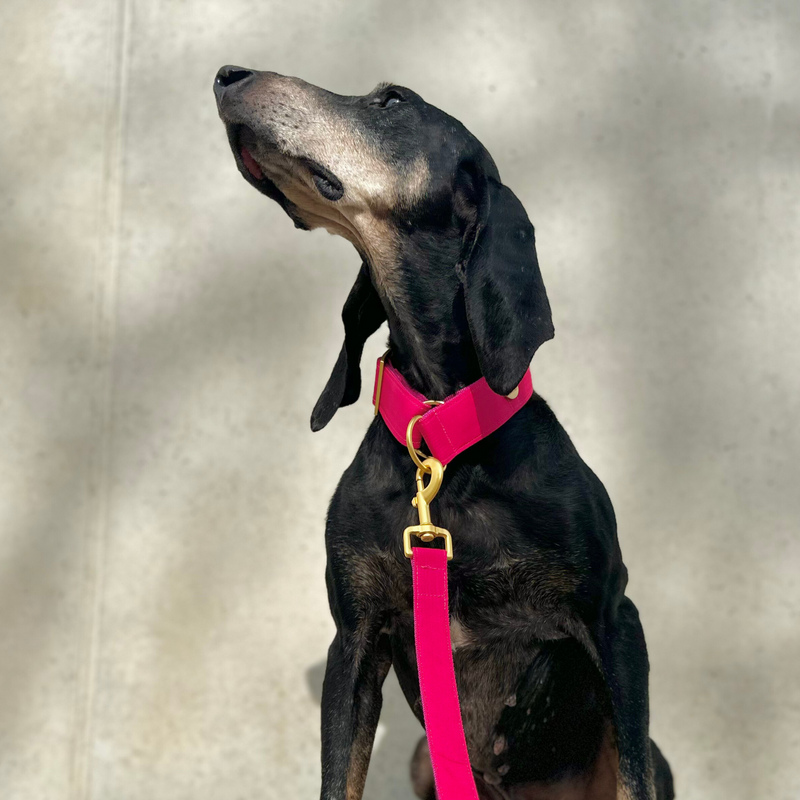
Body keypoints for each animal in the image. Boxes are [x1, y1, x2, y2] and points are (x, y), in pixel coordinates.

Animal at [214, 64, 676, 800]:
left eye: (393, 101)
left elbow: (633, 776)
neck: (443, 447)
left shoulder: (615, 620)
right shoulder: (353, 640)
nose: (228, 75)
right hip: (422, 759)